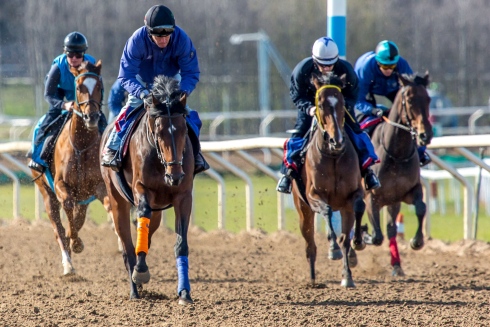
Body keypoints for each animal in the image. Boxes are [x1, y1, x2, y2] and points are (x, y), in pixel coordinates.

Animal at [30, 60, 111, 276]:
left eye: (99, 86)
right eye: (79, 87)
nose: (91, 117)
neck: (82, 144)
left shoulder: (96, 187)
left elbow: (106, 203)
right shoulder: (61, 185)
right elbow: (66, 206)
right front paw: (75, 242)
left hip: (82, 197)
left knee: (78, 217)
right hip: (46, 192)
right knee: (57, 227)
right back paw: (68, 264)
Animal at [100, 75, 195, 304]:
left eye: (184, 129)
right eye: (158, 131)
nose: (175, 176)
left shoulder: (183, 195)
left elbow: (181, 243)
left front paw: (184, 292)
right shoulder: (141, 188)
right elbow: (141, 217)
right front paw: (141, 271)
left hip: (159, 208)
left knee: (147, 234)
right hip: (117, 200)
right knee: (126, 245)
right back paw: (135, 287)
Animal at [292, 73, 366, 288]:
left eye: (341, 102)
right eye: (320, 103)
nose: (337, 140)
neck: (333, 155)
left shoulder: (353, 194)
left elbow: (358, 207)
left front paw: (358, 241)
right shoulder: (313, 195)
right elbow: (326, 210)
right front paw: (332, 248)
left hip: (344, 208)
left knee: (344, 237)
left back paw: (347, 276)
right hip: (303, 210)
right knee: (310, 244)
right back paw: (313, 279)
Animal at [368, 72, 432, 276]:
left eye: (428, 98)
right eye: (410, 100)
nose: (425, 135)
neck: (396, 153)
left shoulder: (408, 191)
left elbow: (421, 208)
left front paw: (416, 241)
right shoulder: (371, 196)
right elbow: (376, 236)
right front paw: (364, 237)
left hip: (392, 202)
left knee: (390, 229)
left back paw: (396, 265)